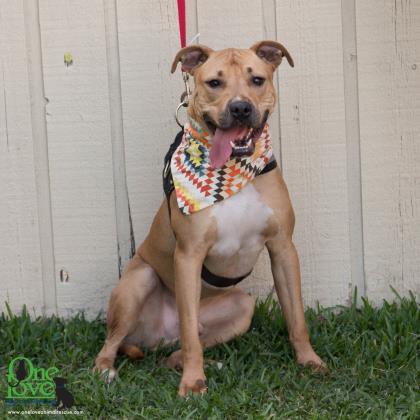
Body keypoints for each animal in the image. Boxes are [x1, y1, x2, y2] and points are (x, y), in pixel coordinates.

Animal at [96, 41, 328, 396]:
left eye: (257, 80)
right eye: (214, 83)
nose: (240, 108)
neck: (234, 171)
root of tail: (159, 336)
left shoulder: (283, 248)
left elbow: (297, 317)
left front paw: (309, 360)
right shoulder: (189, 256)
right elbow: (191, 331)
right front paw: (193, 383)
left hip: (243, 306)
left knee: (177, 350)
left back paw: (202, 362)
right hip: (139, 282)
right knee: (115, 343)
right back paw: (107, 370)